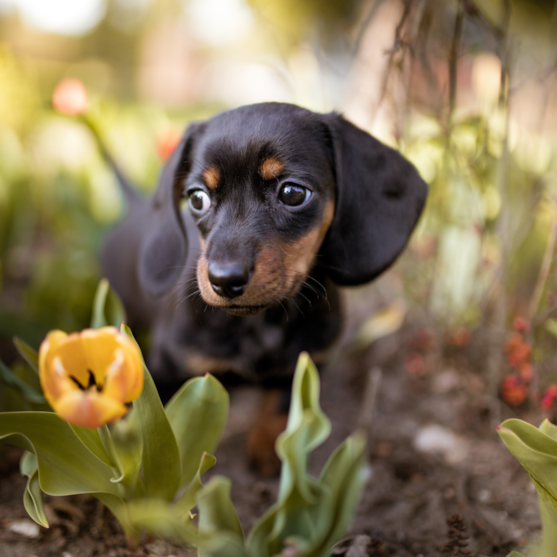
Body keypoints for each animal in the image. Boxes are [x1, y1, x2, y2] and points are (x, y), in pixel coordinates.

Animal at [101, 101, 426, 474]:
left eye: (293, 193)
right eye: (197, 198)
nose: (224, 279)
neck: (259, 324)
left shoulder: (306, 361)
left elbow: (279, 406)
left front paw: (270, 453)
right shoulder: (169, 366)